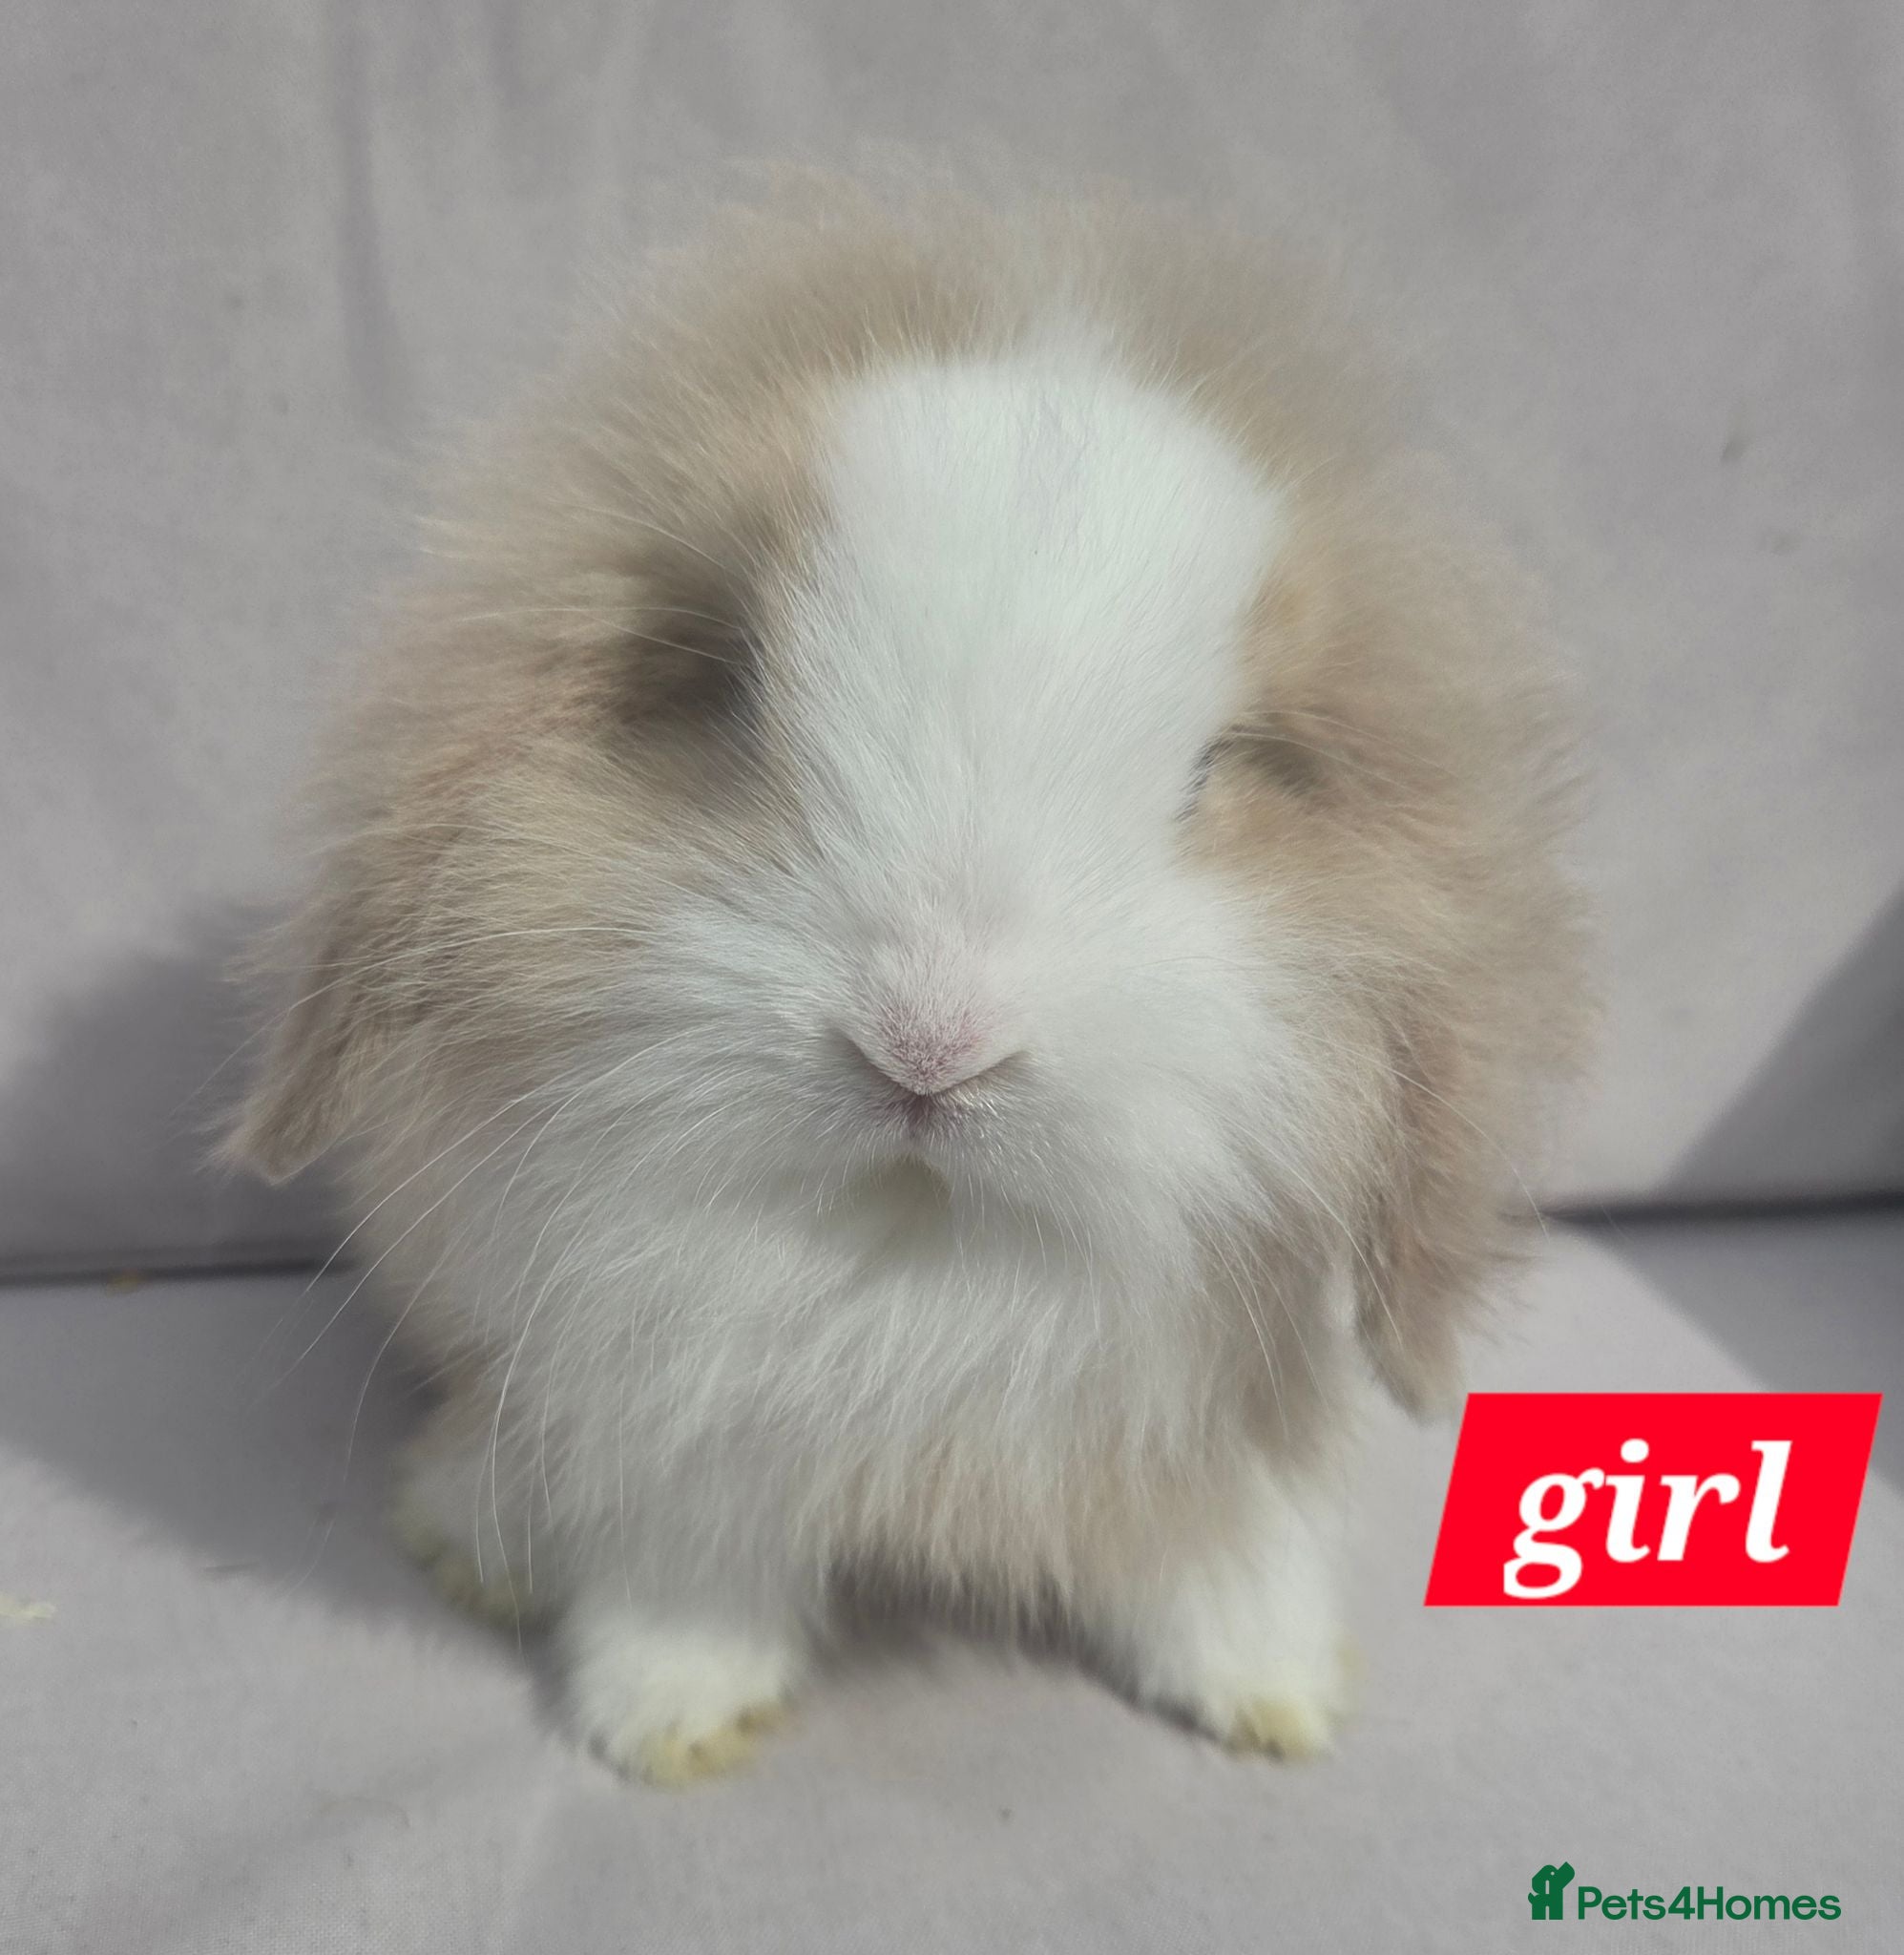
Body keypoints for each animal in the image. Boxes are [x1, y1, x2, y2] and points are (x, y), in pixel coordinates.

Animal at [227, 175, 1587, 1786]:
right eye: (730, 690)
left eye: (1212, 772)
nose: (928, 1046)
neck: (919, 1251)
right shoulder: (673, 1410)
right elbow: (683, 1565)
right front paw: (666, 1719)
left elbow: (1208, 1552)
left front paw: (1271, 1696)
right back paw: (473, 1541)